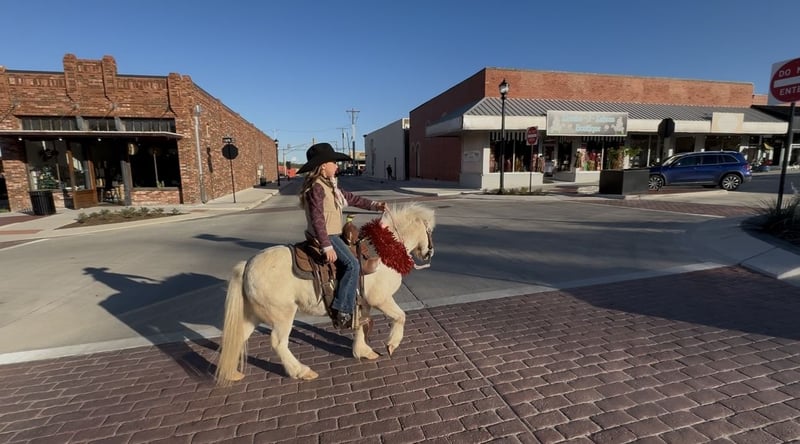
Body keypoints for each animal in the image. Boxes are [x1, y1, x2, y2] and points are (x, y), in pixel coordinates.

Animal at [214, 203, 435, 383]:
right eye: (429, 230)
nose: (429, 253)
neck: (386, 249)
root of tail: (247, 265)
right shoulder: (381, 299)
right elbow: (400, 316)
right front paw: (392, 344)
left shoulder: (362, 303)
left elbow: (361, 326)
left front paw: (363, 351)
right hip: (282, 315)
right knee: (278, 343)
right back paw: (301, 371)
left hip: (252, 315)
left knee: (237, 337)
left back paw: (231, 373)